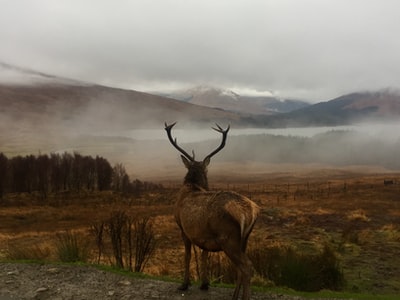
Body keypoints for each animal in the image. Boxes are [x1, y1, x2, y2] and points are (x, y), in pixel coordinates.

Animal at [165, 122, 260, 300]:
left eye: (206, 171)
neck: (192, 187)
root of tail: (251, 212)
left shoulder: (182, 227)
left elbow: (187, 256)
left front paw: (184, 284)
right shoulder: (204, 235)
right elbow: (204, 255)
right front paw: (204, 283)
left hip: (228, 238)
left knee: (247, 266)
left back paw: (243, 297)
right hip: (244, 239)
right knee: (241, 268)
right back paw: (234, 296)